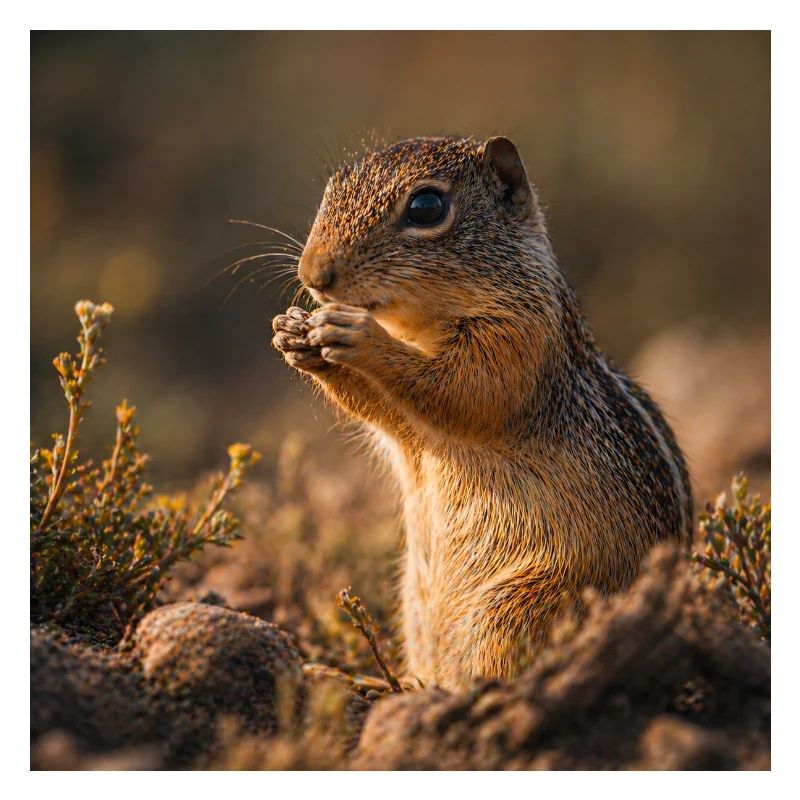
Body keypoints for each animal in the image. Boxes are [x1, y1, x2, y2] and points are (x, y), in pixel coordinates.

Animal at [271, 135, 693, 691]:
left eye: (427, 207)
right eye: (331, 188)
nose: (312, 275)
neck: (418, 324)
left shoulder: (518, 339)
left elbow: (467, 391)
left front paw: (359, 335)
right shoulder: (407, 424)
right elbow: (385, 412)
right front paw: (294, 335)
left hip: (515, 608)